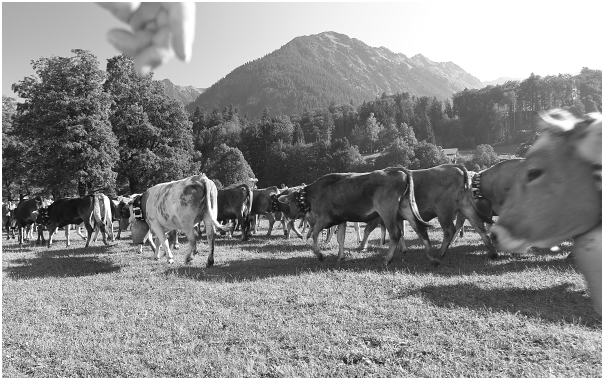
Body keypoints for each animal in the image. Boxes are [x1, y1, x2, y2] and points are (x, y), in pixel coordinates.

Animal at [278, 168, 438, 266]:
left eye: (289, 202)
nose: (289, 215)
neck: (314, 193)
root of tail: (396, 170)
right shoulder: (341, 219)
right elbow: (340, 238)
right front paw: (340, 257)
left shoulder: (324, 219)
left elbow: (315, 234)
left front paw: (319, 255)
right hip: (405, 208)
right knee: (420, 229)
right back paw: (432, 258)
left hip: (386, 211)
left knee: (395, 233)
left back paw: (387, 259)